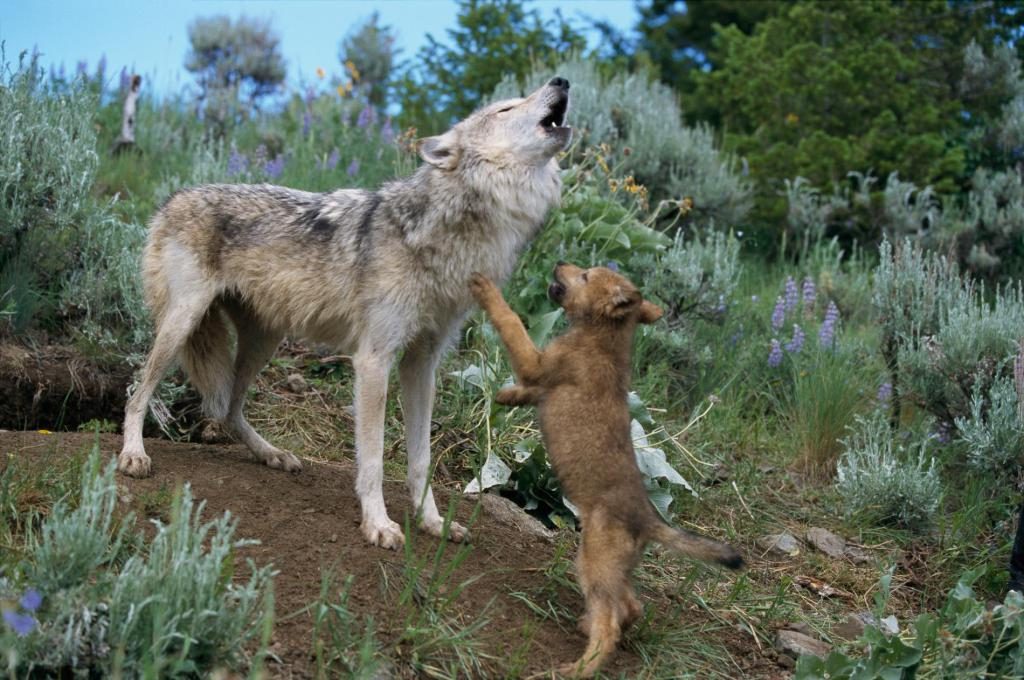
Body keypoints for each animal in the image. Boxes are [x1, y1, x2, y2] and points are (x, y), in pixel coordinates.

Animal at [117, 76, 577, 548]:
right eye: (505, 108)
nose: (561, 80)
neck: (444, 232)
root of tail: (173, 198)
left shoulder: (422, 363)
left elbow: (420, 458)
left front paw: (431, 522)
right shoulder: (373, 359)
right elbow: (372, 458)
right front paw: (378, 524)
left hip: (263, 341)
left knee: (228, 408)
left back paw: (272, 454)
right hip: (182, 324)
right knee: (138, 391)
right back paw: (133, 455)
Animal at [468, 264, 741, 675]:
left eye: (584, 275)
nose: (559, 263)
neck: (602, 338)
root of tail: (649, 520)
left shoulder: (538, 363)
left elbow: (511, 320)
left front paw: (486, 289)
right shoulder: (540, 380)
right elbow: (525, 389)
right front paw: (505, 396)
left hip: (593, 561)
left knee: (611, 624)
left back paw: (577, 668)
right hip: (611, 567)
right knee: (631, 607)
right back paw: (586, 628)